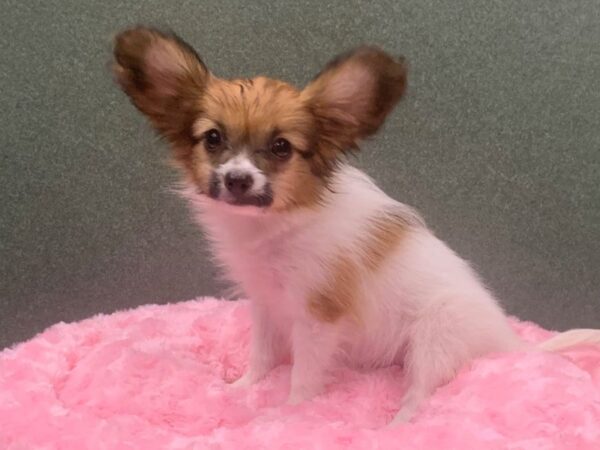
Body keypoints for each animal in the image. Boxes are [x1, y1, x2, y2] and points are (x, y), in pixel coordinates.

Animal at [113, 26, 600, 424]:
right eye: (213, 139)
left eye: (281, 147)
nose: (237, 179)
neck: (279, 223)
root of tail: (506, 341)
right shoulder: (266, 304)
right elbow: (262, 356)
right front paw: (241, 389)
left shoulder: (318, 320)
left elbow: (304, 377)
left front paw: (290, 415)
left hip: (436, 336)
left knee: (421, 397)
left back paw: (395, 427)